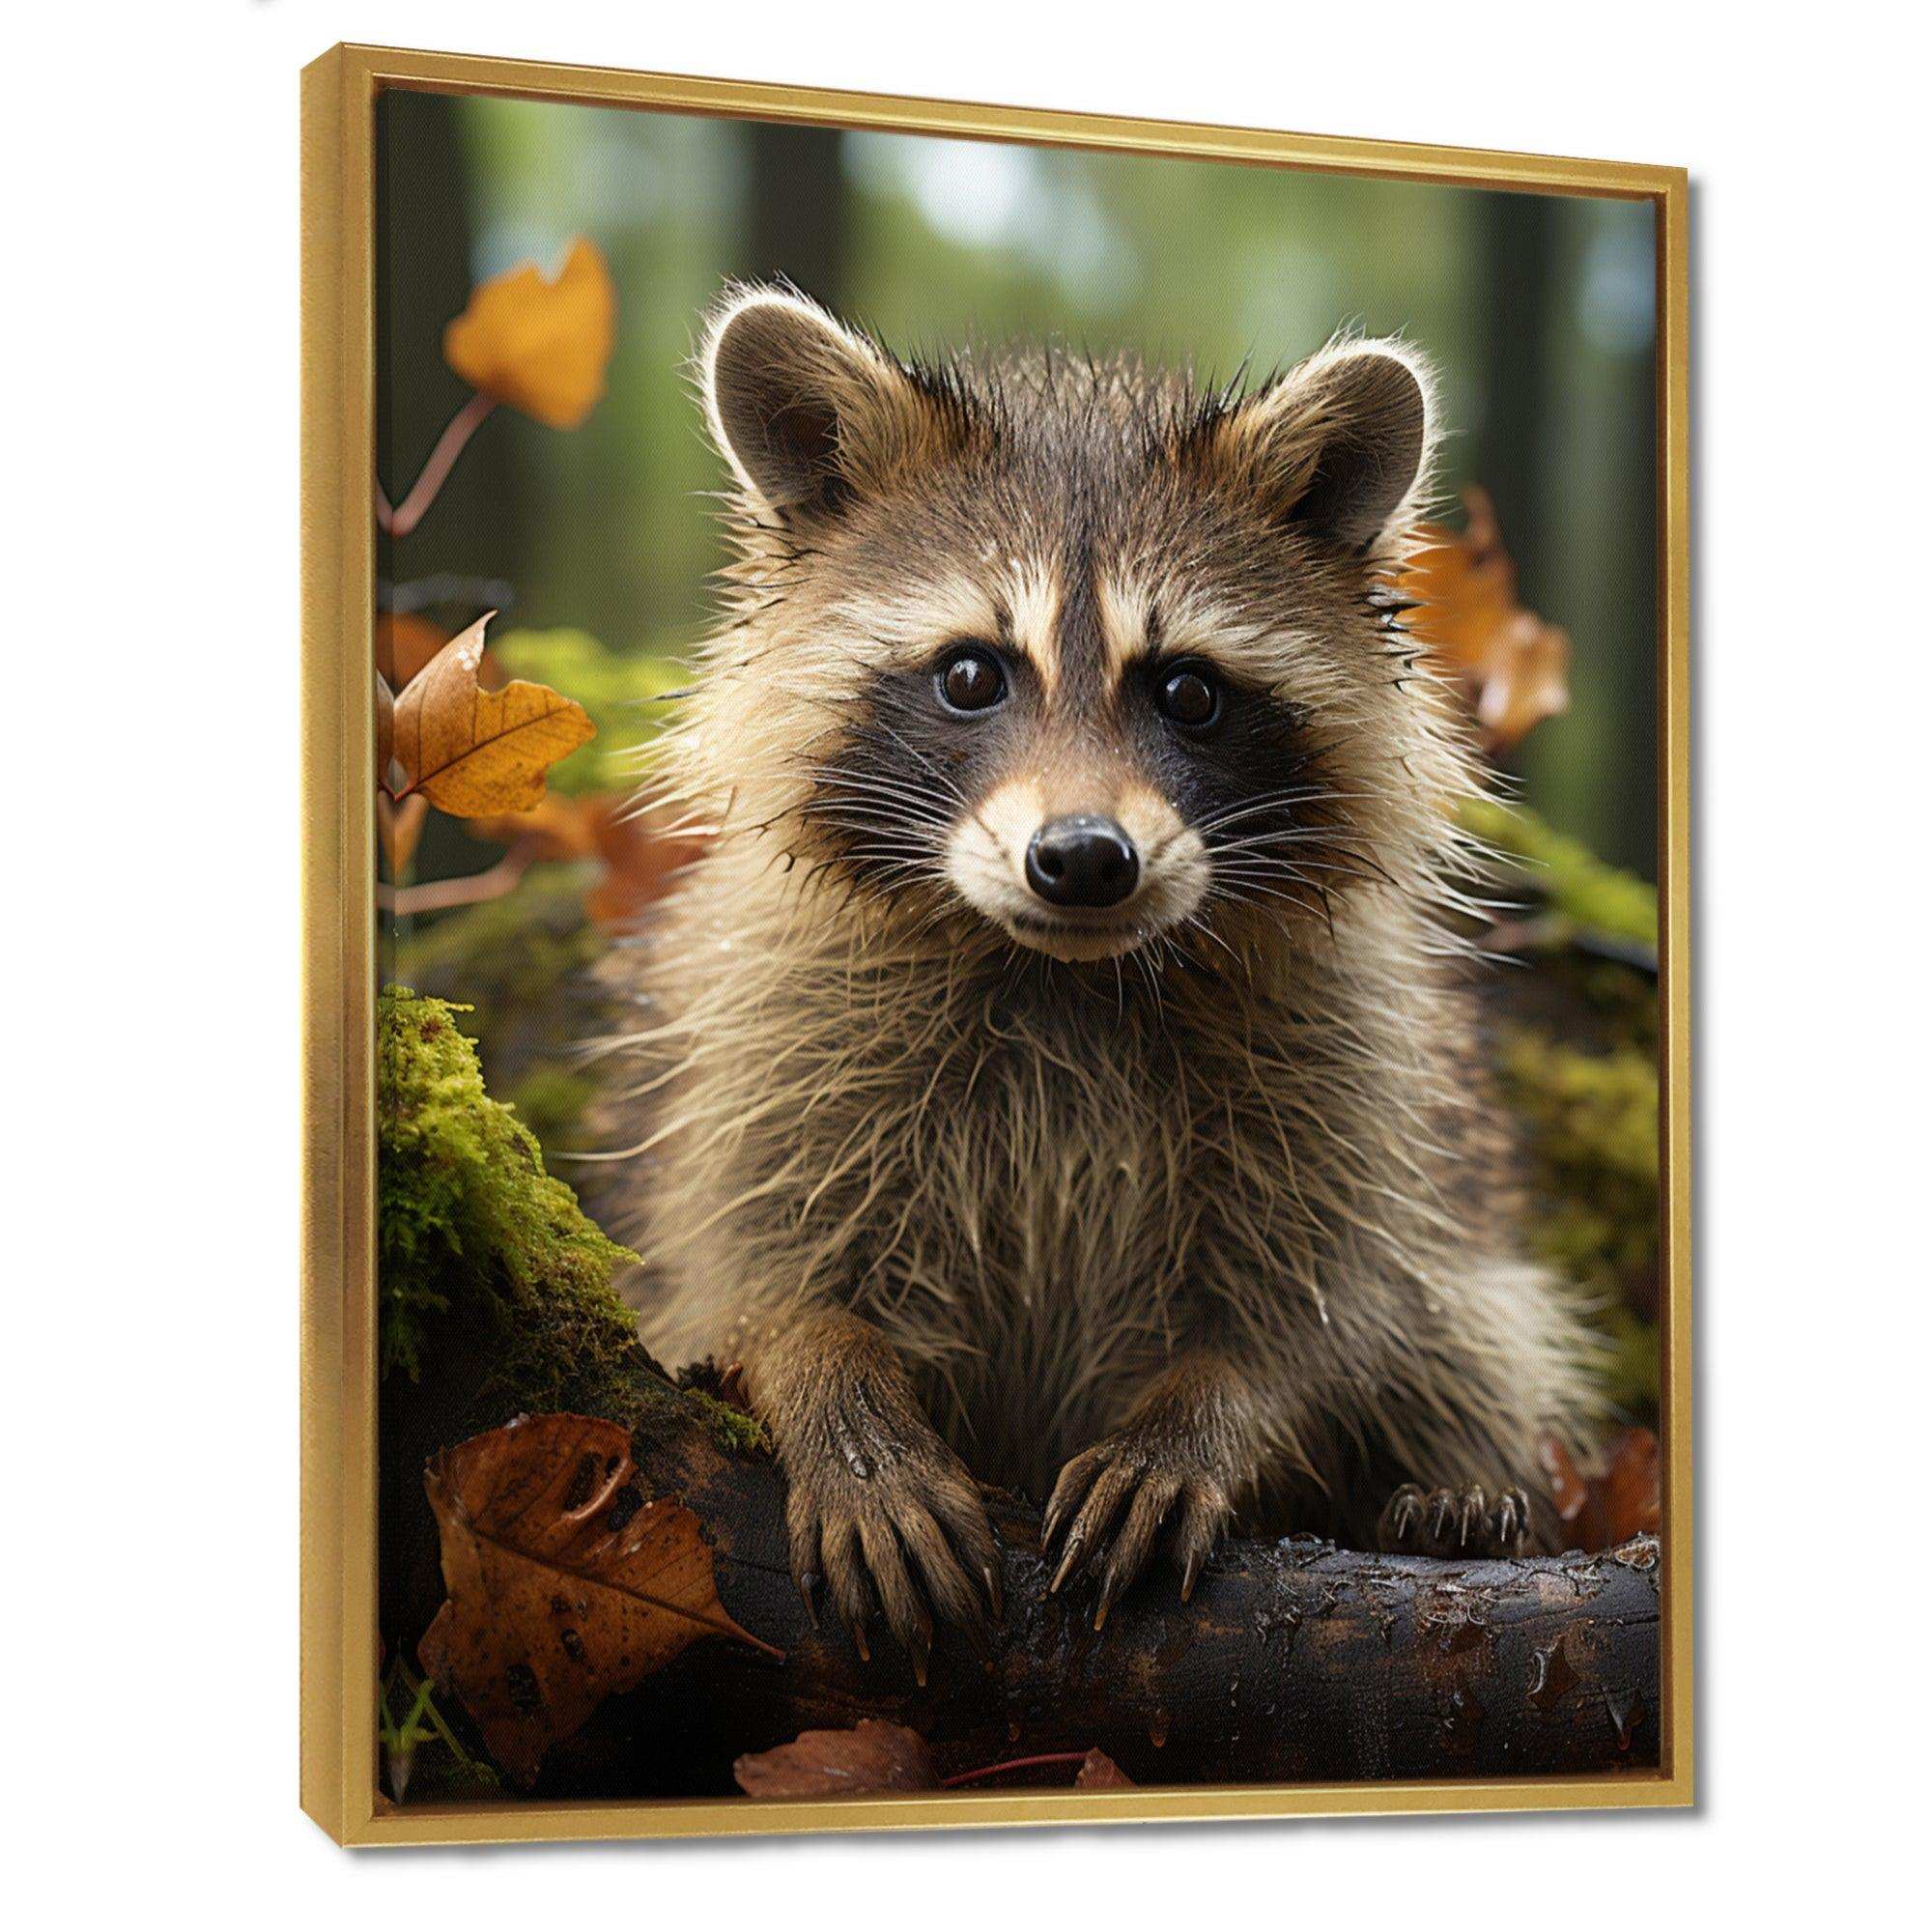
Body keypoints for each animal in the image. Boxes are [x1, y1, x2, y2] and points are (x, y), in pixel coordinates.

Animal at [598, 286, 1601, 1667]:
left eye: (1187, 690)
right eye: (971, 672)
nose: (1081, 860)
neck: (1058, 974)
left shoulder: (1353, 1066)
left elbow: (1323, 1310)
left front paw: (1205, 1413)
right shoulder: (769, 1033)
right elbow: (744, 1267)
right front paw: (831, 1385)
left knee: (1472, 1332)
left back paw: (1450, 1490)